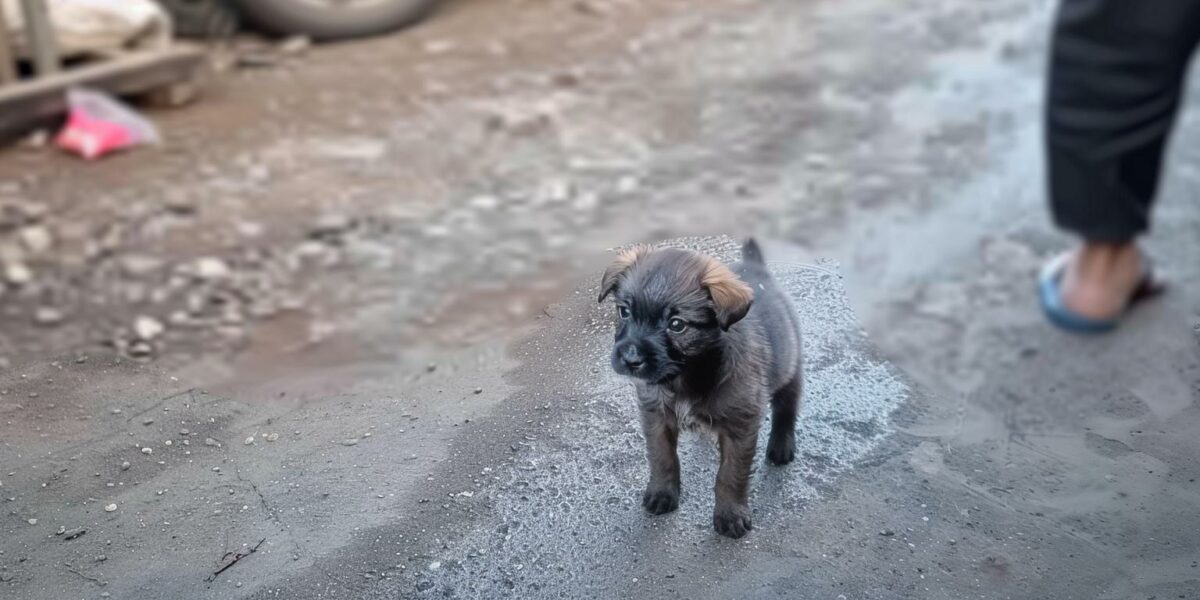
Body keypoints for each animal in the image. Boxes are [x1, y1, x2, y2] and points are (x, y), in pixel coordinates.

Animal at [597, 238, 801, 540]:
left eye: (677, 325)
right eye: (624, 311)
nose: (631, 359)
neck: (684, 375)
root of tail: (756, 267)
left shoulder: (741, 426)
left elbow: (730, 474)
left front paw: (730, 515)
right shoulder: (656, 416)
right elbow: (662, 458)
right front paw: (662, 493)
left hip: (790, 367)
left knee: (787, 407)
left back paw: (781, 445)